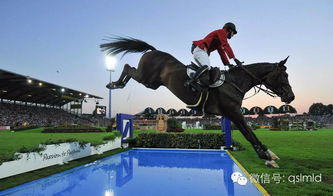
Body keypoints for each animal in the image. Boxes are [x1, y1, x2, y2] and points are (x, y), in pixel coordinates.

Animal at [100, 36, 294, 167]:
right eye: (283, 76)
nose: (290, 97)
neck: (235, 83)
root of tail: (153, 50)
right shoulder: (234, 112)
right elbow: (249, 133)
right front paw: (266, 156)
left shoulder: (231, 114)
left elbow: (248, 133)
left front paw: (268, 154)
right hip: (145, 77)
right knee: (128, 68)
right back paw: (115, 84)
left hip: (152, 83)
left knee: (130, 69)